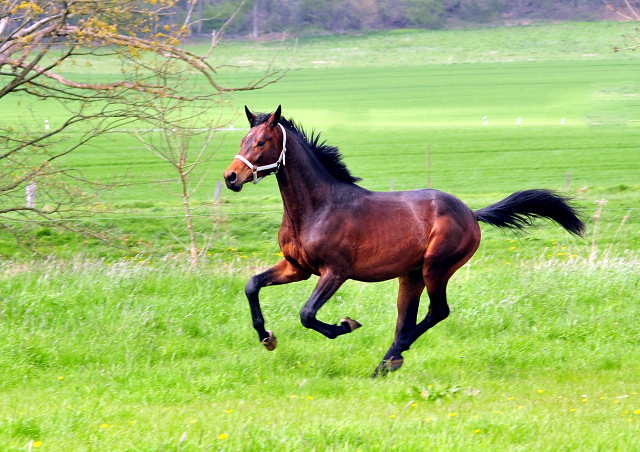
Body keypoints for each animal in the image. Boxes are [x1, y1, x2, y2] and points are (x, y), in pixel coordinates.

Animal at [221, 107, 584, 378]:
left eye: (262, 141)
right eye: (243, 139)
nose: (231, 177)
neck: (317, 206)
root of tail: (470, 212)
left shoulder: (335, 272)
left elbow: (307, 314)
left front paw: (346, 325)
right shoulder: (297, 267)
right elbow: (252, 285)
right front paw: (267, 338)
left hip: (435, 268)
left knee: (438, 311)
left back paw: (392, 357)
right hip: (410, 275)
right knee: (406, 319)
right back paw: (388, 362)